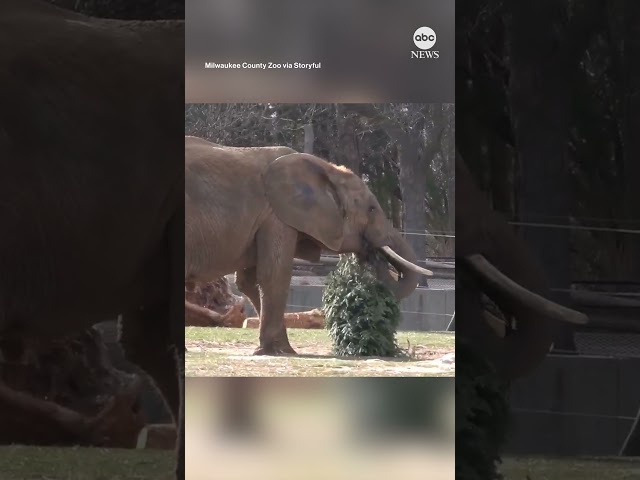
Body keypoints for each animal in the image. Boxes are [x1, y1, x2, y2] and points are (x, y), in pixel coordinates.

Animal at [182, 137, 430, 354]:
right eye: (371, 209)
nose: (372, 254)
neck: (325, 168)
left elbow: (249, 281)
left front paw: (274, 349)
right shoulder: (277, 216)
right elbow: (273, 275)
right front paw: (281, 352)